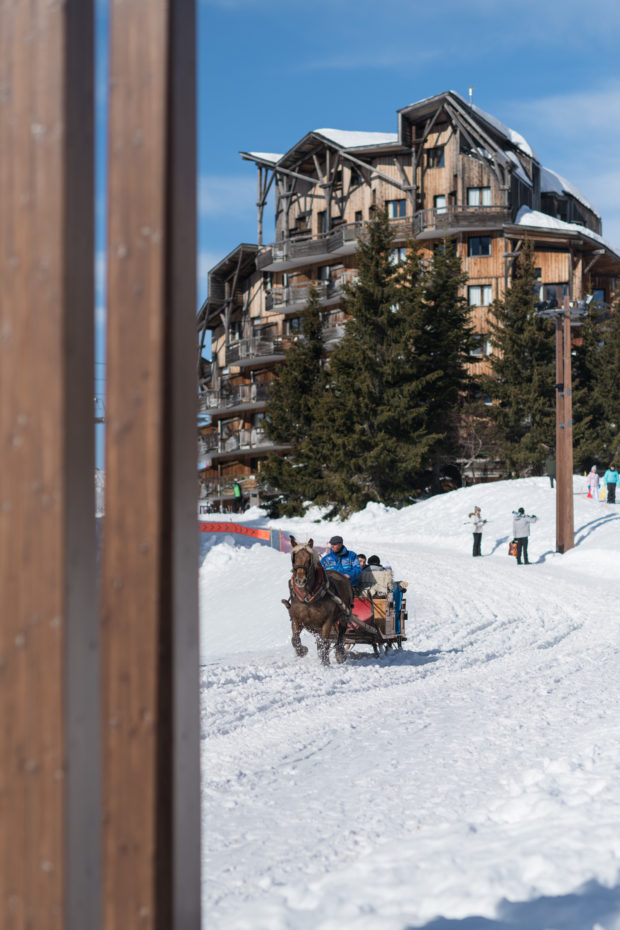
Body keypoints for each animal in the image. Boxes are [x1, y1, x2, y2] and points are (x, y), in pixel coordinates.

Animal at [284, 532, 352, 664]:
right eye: (294, 558)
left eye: (309, 559)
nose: (300, 581)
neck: (308, 598)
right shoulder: (297, 619)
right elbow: (295, 640)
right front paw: (302, 651)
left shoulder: (327, 621)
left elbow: (325, 643)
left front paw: (325, 663)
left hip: (343, 615)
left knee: (341, 633)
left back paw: (340, 654)